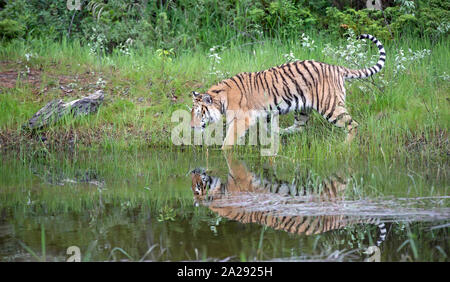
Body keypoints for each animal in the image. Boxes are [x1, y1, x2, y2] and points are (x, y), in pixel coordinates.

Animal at [191, 34, 386, 149]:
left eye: (199, 113)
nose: (192, 127)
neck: (221, 99)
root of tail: (336, 67)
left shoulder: (241, 119)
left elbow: (229, 140)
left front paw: (224, 152)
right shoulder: (262, 113)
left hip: (330, 106)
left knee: (353, 125)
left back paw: (344, 146)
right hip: (303, 108)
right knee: (299, 127)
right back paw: (281, 132)